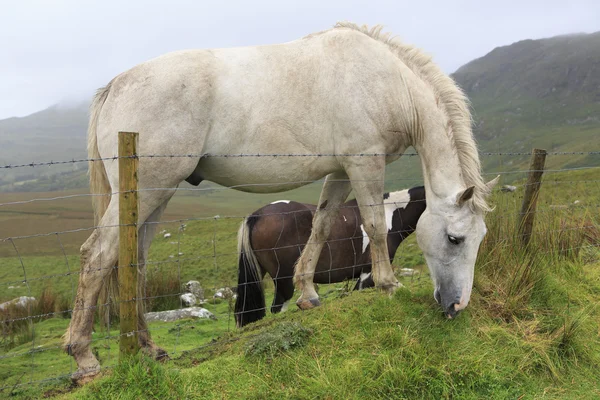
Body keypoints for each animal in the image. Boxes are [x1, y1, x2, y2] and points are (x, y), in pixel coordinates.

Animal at [64, 23, 496, 380]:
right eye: (455, 238)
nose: (457, 306)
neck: (388, 81)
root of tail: (115, 85)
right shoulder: (364, 163)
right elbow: (374, 225)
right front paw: (388, 286)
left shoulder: (341, 171)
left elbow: (322, 224)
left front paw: (308, 294)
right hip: (148, 190)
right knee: (97, 254)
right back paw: (84, 358)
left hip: (154, 197)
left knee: (132, 261)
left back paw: (149, 347)